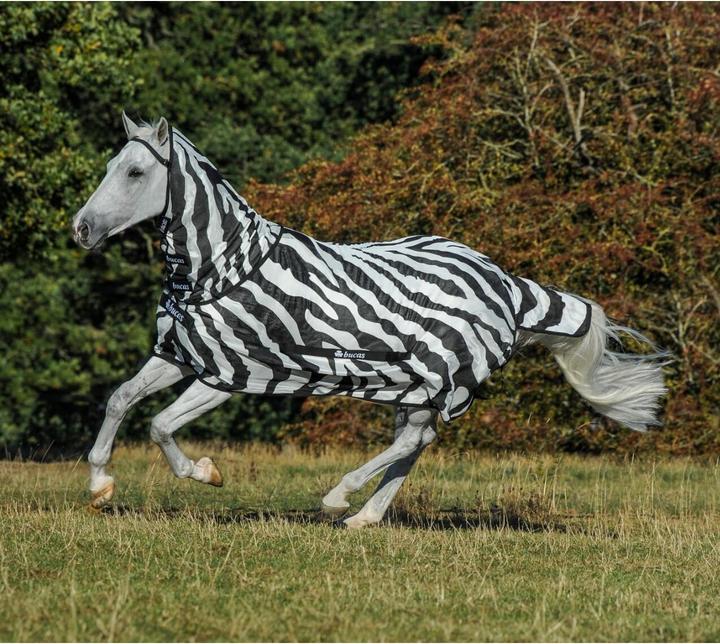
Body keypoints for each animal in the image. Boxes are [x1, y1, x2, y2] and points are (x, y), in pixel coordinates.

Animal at [72, 114, 667, 528]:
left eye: (135, 171)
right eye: (108, 167)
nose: (81, 229)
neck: (220, 267)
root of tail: (507, 284)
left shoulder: (231, 373)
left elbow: (159, 424)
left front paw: (205, 472)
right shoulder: (179, 356)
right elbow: (121, 401)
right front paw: (100, 485)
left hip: (438, 377)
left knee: (412, 441)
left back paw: (339, 499)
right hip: (415, 384)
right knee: (417, 442)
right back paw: (364, 516)